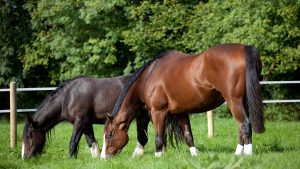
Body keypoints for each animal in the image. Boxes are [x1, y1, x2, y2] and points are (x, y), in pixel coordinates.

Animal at [21, 74, 152, 159]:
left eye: (29, 135)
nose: (24, 158)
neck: (68, 97)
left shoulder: (79, 121)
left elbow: (73, 141)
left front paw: (71, 159)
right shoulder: (86, 123)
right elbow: (91, 141)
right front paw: (96, 158)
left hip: (144, 116)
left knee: (143, 137)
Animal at [103, 43, 264, 157]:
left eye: (110, 134)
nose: (104, 157)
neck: (149, 77)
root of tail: (244, 48)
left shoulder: (158, 112)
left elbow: (159, 137)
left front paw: (158, 156)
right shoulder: (181, 112)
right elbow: (188, 136)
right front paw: (194, 154)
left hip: (233, 100)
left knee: (245, 124)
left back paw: (247, 154)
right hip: (242, 101)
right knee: (241, 127)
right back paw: (237, 153)